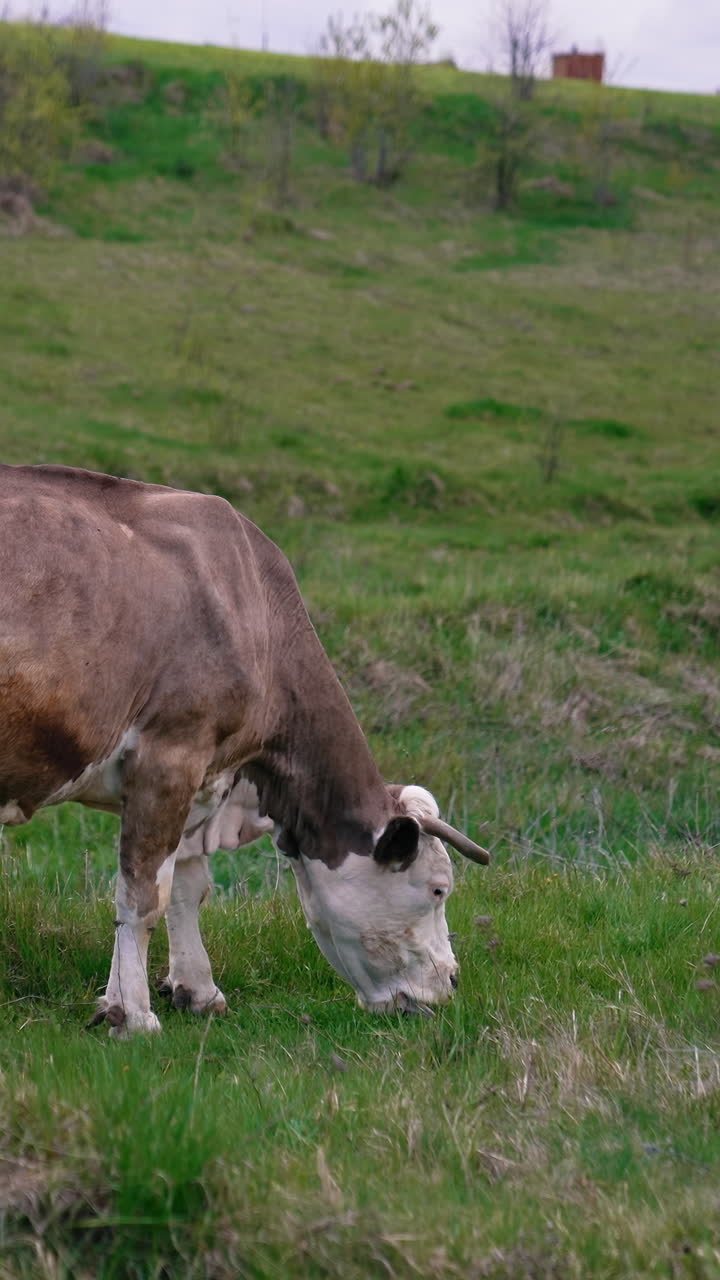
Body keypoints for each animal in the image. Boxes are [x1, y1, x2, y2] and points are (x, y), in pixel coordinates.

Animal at [0, 464, 489, 1036]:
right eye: (438, 889)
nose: (451, 982)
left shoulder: (204, 773)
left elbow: (189, 885)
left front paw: (193, 990)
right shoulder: (170, 754)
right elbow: (144, 896)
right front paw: (134, 1015)